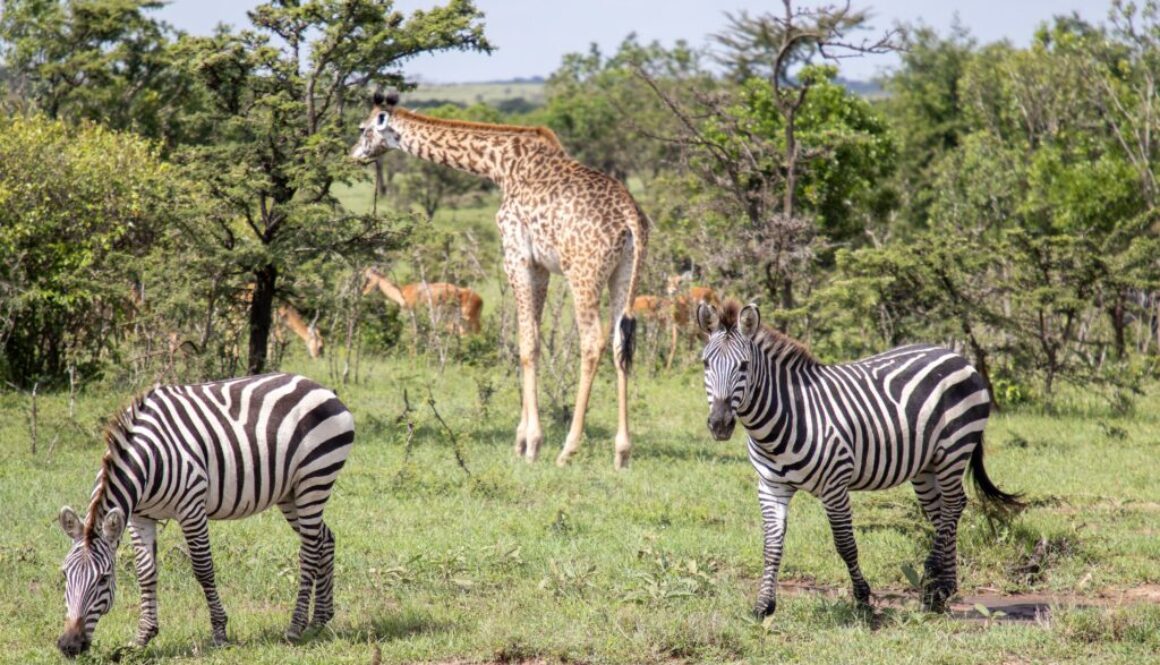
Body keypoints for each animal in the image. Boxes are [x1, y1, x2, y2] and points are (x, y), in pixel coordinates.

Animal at [56, 372, 355, 657]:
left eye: (104, 579)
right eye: (65, 575)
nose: (69, 645)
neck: (148, 461)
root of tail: (320, 387)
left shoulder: (191, 507)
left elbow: (203, 569)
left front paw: (220, 632)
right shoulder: (139, 517)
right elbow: (146, 572)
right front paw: (142, 637)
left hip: (313, 479)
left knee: (310, 551)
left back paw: (295, 626)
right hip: (291, 493)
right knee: (324, 539)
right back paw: (319, 620)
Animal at [351, 92, 649, 468]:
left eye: (363, 128)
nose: (354, 154)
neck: (501, 166)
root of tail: (631, 218)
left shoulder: (516, 256)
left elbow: (526, 345)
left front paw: (531, 443)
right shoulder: (539, 266)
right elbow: (531, 340)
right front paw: (521, 441)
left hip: (583, 272)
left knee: (592, 341)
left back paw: (568, 449)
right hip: (624, 274)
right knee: (621, 343)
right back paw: (622, 452)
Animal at [696, 300, 1020, 620]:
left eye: (744, 366)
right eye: (705, 364)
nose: (720, 424)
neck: (786, 418)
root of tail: (956, 356)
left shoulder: (834, 486)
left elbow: (845, 545)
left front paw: (863, 599)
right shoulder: (771, 486)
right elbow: (771, 545)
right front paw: (764, 605)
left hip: (953, 450)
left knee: (953, 506)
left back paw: (931, 580)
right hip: (925, 465)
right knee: (942, 513)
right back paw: (941, 591)